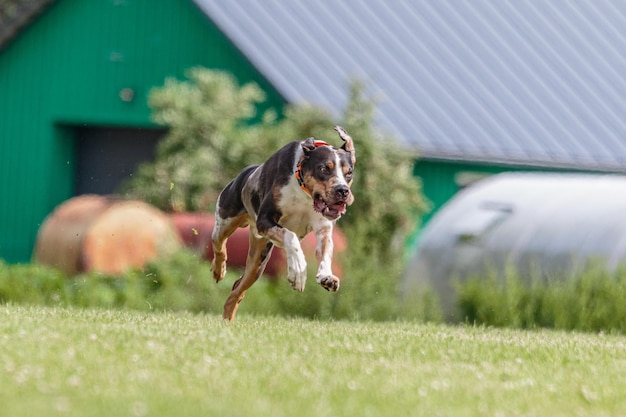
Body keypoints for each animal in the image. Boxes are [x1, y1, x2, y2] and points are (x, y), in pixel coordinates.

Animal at [211, 125, 354, 320]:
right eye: (324, 168)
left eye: (349, 173)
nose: (342, 190)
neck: (304, 193)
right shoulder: (265, 220)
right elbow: (291, 236)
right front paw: (298, 271)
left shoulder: (323, 227)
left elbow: (326, 250)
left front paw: (327, 276)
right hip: (226, 219)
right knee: (217, 242)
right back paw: (219, 270)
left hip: (258, 261)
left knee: (237, 290)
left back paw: (227, 320)